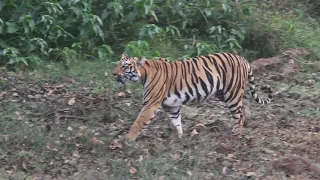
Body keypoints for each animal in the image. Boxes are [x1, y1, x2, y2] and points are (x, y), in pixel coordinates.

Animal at [112, 52, 272, 141]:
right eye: (118, 64)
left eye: (125, 66)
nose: (113, 74)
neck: (143, 74)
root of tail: (242, 58)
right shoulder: (171, 105)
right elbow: (176, 121)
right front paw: (178, 137)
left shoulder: (150, 104)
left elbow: (138, 123)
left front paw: (127, 140)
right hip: (225, 92)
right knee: (245, 102)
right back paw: (247, 121)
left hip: (231, 93)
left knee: (238, 115)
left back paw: (236, 133)